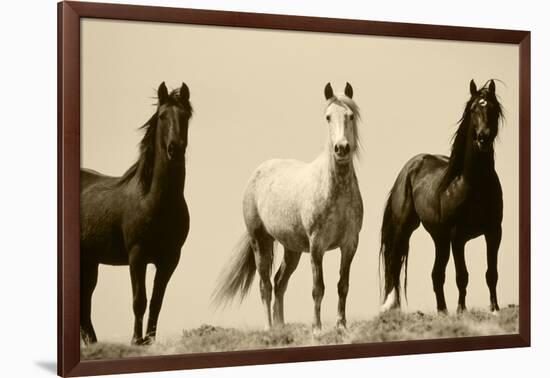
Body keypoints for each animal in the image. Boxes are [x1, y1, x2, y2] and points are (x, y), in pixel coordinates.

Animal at [81, 82, 193, 346]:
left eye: (185, 116)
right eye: (162, 116)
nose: (175, 148)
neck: (154, 201)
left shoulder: (170, 259)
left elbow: (156, 302)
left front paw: (149, 340)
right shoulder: (137, 255)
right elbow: (139, 300)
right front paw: (135, 340)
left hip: (90, 262)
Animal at [213, 82, 364, 330]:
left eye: (350, 116)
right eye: (328, 117)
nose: (341, 148)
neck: (335, 189)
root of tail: (257, 173)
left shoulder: (350, 244)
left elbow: (343, 285)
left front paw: (341, 325)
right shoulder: (317, 245)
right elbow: (318, 288)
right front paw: (317, 328)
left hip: (292, 249)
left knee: (279, 282)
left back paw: (281, 327)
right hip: (260, 241)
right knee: (265, 284)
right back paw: (269, 328)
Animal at [382, 80, 506, 316]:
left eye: (494, 109)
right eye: (473, 109)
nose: (483, 138)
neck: (473, 183)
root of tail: (408, 168)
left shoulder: (493, 232)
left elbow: (492, 273)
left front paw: (494, 308)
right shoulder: (458, 237)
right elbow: (462, 276)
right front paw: (461, 310)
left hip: (439, 238)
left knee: (436, 274)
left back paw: (442, 311)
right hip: (405, 229)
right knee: (393, 265)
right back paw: (391, 307)